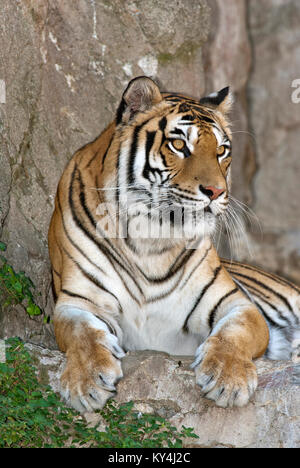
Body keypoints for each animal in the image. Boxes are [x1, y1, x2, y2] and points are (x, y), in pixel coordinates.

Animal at [48, 76, 300, 414]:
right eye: (179, 145)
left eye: (221, 150)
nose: (216, 191)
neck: (151, 236)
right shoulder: (77, 301)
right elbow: (83, 333)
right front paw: (87, 382)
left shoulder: (236, 303)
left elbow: (235, 332)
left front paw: (228, 379)